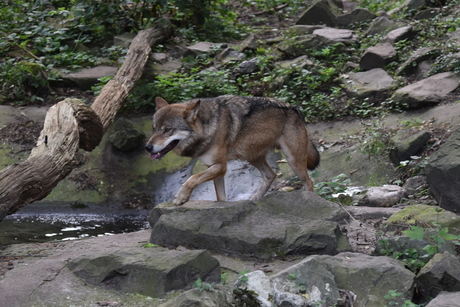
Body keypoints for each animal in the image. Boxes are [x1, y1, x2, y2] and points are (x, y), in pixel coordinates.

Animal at [146, 95, 318, 207]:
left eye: (167, 130)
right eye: (154, 128)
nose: (147, 147)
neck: (208, 126)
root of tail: (294, 108)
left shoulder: (221, 166)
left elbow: (192, 178)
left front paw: (180, 197)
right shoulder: (213, 168)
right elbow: (220, 198)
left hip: (293, 160)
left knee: (309, 182)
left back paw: (309, 201)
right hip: (252, 157)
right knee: (271, 175)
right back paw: (255, 199)